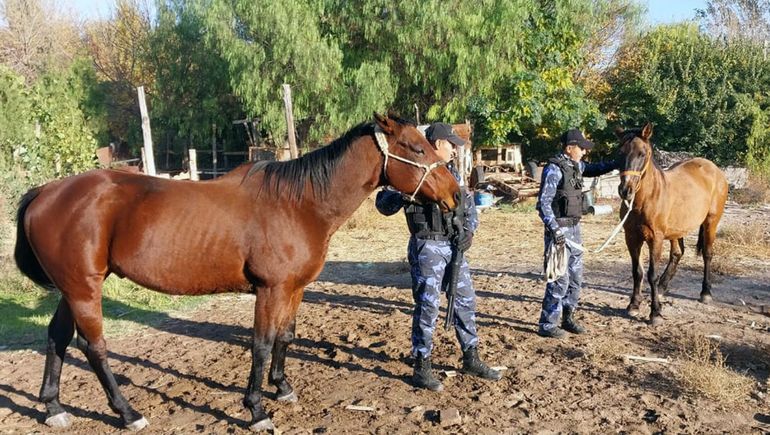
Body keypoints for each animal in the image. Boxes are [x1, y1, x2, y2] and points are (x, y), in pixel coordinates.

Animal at [14, 113, 460, 431]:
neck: (298, 203)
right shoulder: (270, 289)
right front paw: (257, 409)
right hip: (83, 289)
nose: (456, 194)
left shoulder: (294, 289)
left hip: (72, 289)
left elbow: (285, 337)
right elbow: (261, 345)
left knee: (57, 338)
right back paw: (127, 412)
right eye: (415, 148)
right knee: (94, 348)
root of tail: (45, 191)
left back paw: (53, 407)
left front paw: (282, 388)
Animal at [616, 123, 728, 326]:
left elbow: (651, 274)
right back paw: (662, 287)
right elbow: (637, 271)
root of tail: (713, 168)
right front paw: (634, 305)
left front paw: (655, 313)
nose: (625, 190)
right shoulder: (631, 237)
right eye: (620, 152)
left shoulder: (656, 239)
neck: (646, 198)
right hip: (677, 229)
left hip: (711, 222)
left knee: (707, 254)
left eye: (642, 153)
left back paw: (705, 293)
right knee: (677, 253)